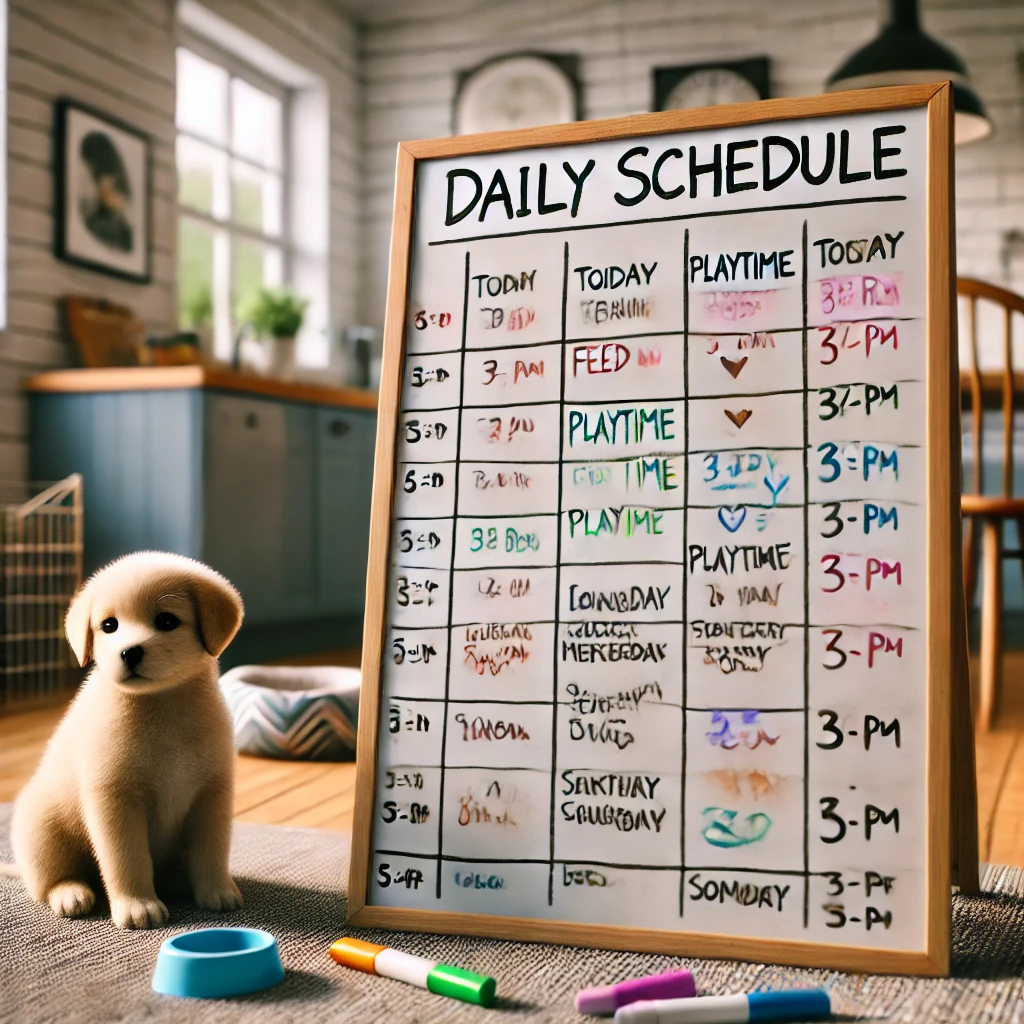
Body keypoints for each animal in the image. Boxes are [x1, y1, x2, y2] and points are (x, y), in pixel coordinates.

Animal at [9, 552, 243, 929]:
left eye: (166, 621)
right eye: (109, 626)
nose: (129, 652)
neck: (162, 708)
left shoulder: (213, 793)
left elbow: (211, 851)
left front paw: (216, 890)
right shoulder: (115, 798)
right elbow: (128, 860)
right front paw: (138, 905)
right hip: (43, 829)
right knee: (50, 880)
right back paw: (71, 893)